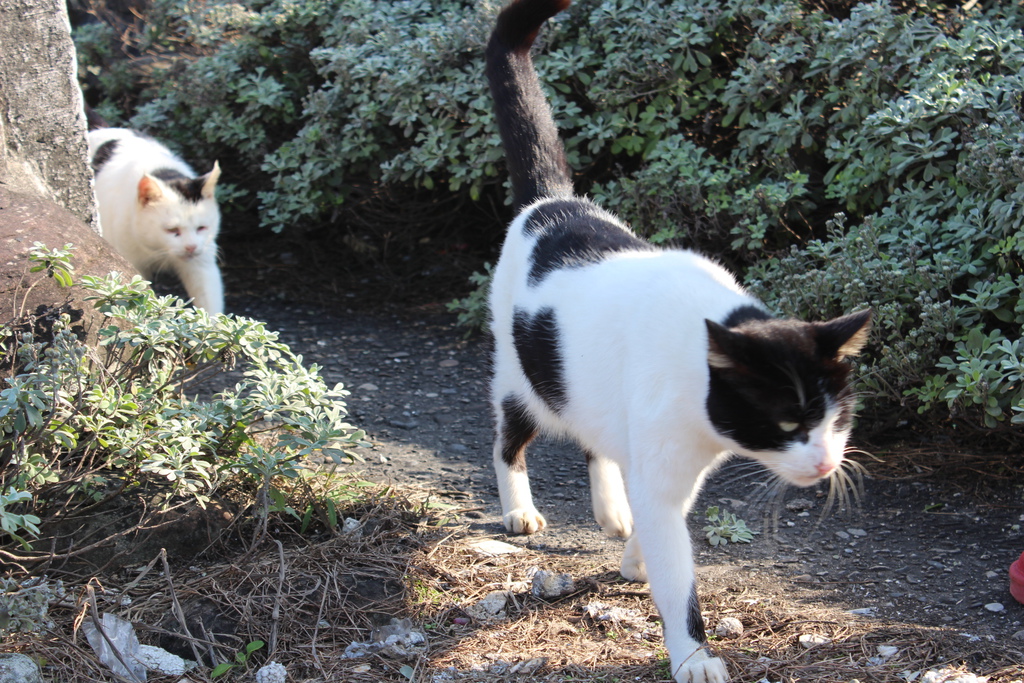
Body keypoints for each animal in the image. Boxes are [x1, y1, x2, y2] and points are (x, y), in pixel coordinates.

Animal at [483, 2, 868, 679]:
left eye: (837, 420)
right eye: (789, 422)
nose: (825, 462)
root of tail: (552, 202)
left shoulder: (676, 470)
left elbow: (659, 529)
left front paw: (636, 555)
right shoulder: (663, 466)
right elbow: (678, 573)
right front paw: (693, 655)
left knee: (598, 443)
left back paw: (611, 511)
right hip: (523, 374)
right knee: (509, 439)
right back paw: (519, 509)